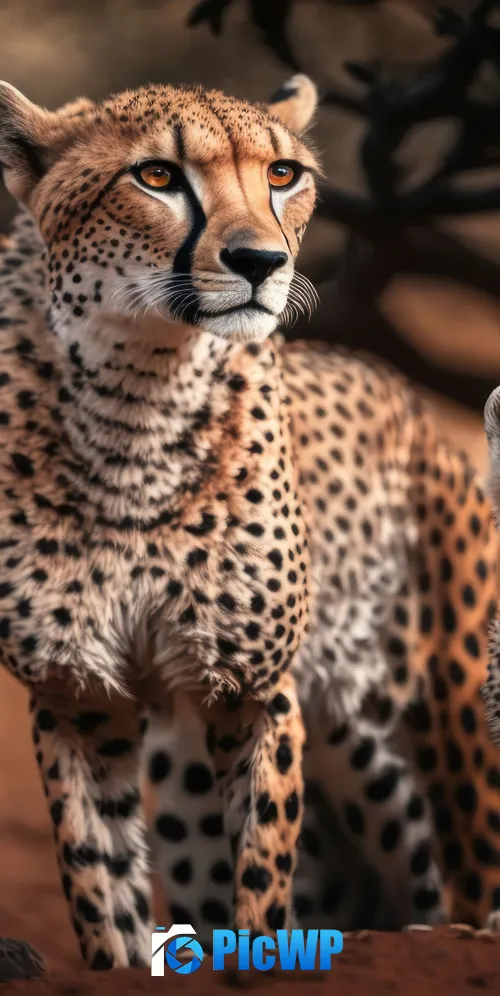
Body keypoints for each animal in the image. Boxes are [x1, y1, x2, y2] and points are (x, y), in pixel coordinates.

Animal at [0, 70, 499, 971]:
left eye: (282, 174)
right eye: (157, 176)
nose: (262, 262)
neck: (138, 401)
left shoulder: (256, 693)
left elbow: (263, 874)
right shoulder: (77, 695)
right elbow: (100, 892)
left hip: (441, 741)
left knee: (463, 892)